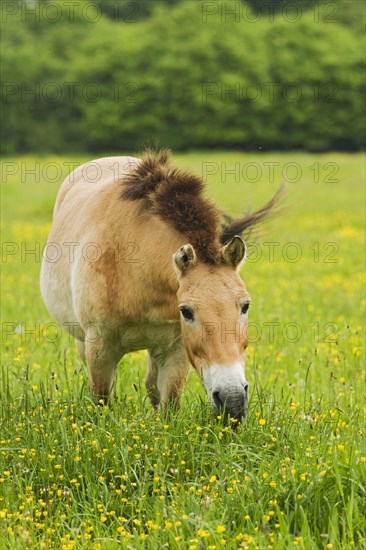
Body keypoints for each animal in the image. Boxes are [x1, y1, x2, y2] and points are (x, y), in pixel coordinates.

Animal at [40, 151, 280, 422]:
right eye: (186, 311)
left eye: (245, 306)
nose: (233, 401)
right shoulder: (99, 347)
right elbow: (101, 400)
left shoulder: (176, 350)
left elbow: (168, 404)